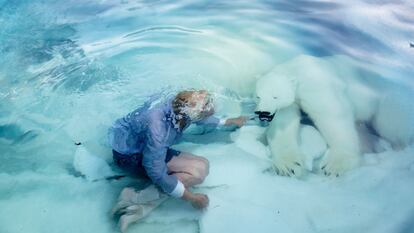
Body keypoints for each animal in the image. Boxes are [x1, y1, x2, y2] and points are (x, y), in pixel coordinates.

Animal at [256, 55, 414, 177]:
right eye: (258, 96)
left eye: (275, 96)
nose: (263, 113)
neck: (296, 69)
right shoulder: (289, 104)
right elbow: (283, 127)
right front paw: (289, 166)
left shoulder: (316, 87)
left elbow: (334, 119)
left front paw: (334, 166)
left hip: (383, 99)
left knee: (390, 123)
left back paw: (400, 145)